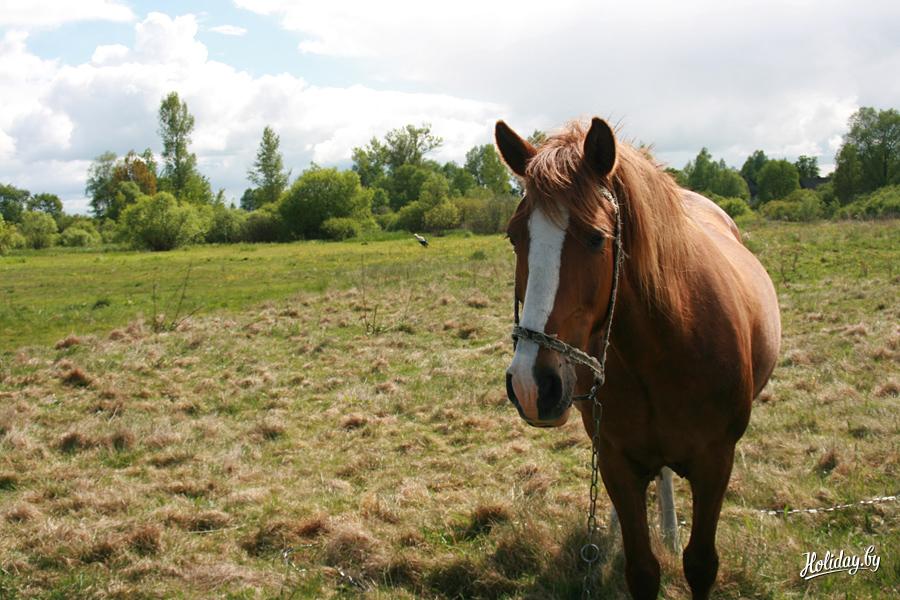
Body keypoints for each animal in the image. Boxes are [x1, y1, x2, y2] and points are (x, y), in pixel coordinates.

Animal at [496, 117, 780, 599]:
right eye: (515, 237)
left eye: (597, 238)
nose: (532, 385)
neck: (667, 345)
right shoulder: (616, 461)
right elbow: (642, 569)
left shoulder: (716, 461)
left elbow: (700, 564)